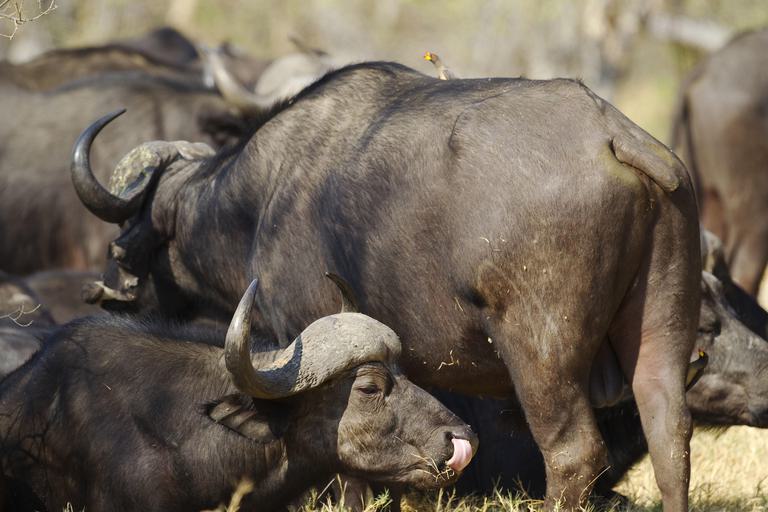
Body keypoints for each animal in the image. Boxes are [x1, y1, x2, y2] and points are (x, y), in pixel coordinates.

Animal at [74, 62, 700, 510]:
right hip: (661, 330)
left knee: (573, 454)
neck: (261, 200)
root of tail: (614, 136)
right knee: (671, 436)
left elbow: (349, 465)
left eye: (133, 232)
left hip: (541, 354)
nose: (107, 288)